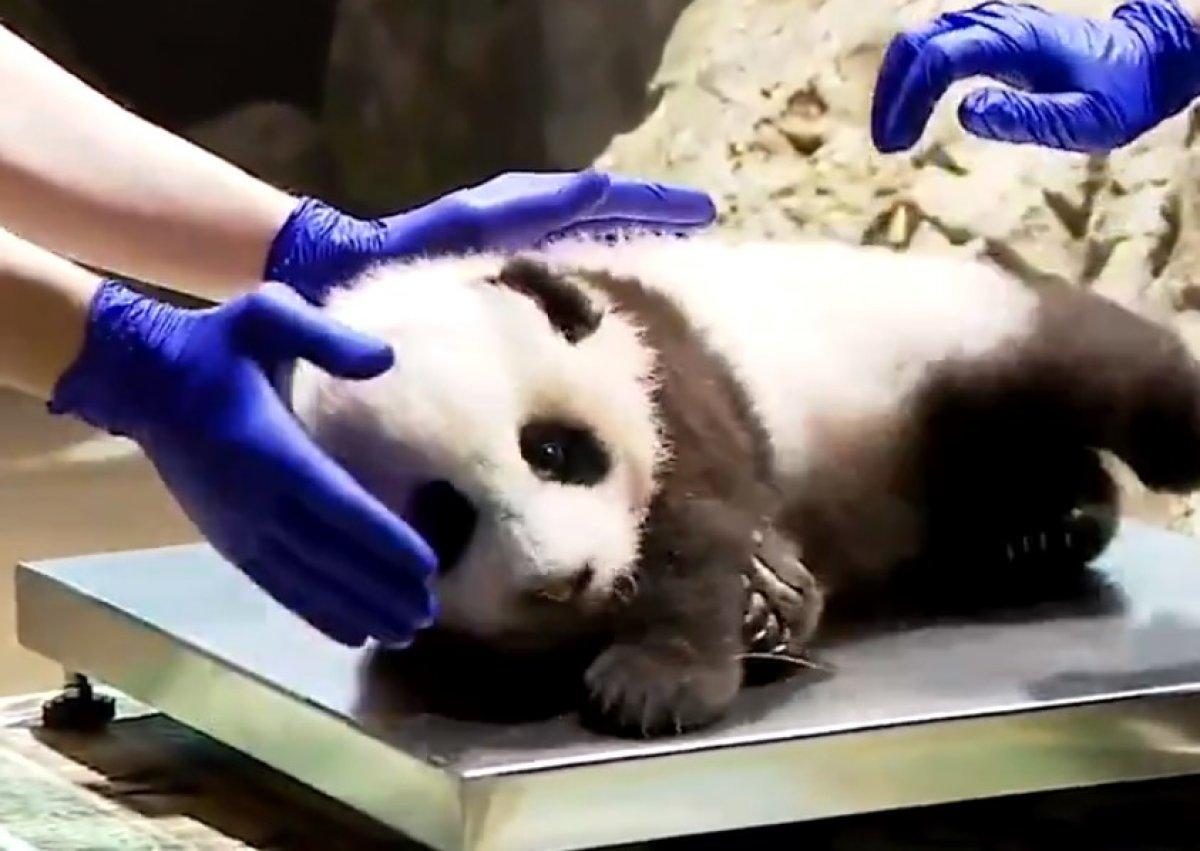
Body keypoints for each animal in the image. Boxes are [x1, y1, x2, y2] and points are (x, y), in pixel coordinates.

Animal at [288, 233, 1200, 738]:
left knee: (1096, 361)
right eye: (443, 522)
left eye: (550, 450)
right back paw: (1042, 526)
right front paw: (770, 600)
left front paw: (658, 682)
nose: (566, 579)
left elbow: (696, 524)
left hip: (948, 326)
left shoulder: (667, 370)